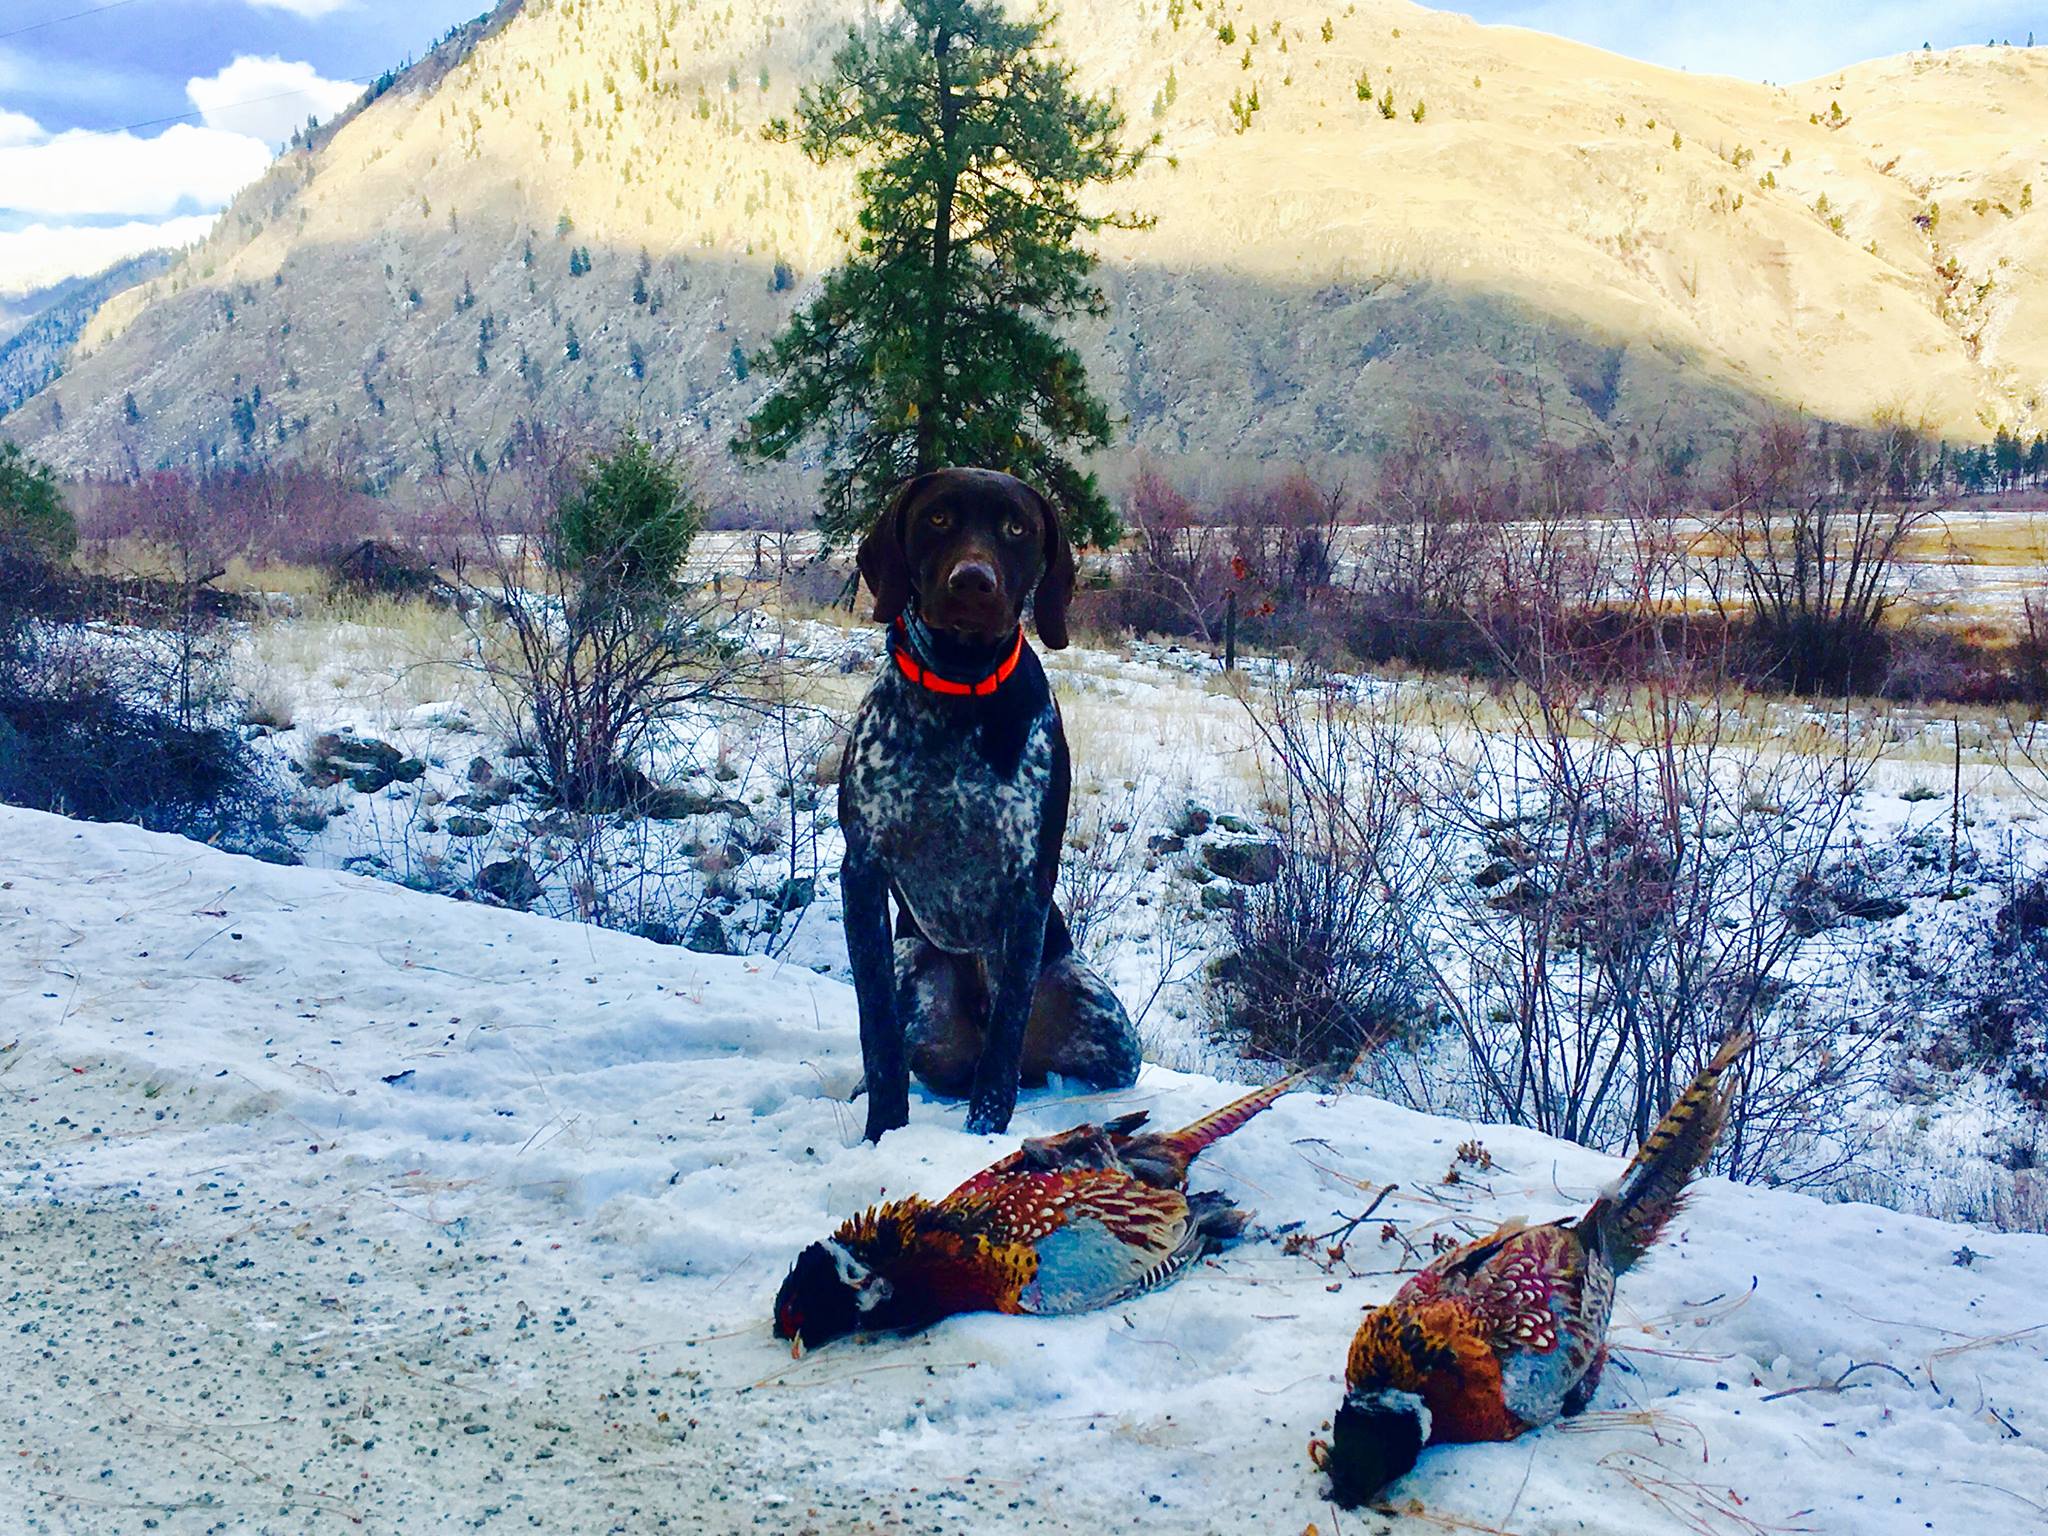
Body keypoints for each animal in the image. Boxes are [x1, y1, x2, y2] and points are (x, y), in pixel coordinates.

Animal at [839, 468, 1146, 1146]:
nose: (973, 582)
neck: (959, 688)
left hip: (1107, 1026)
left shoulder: (1027, 887)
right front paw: (882, 1134)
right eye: (937, 519)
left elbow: (1004, 1042)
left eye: (1016, 527)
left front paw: (984, 1135)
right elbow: (878, 1037)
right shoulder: (862, 872)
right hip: (913, 964)